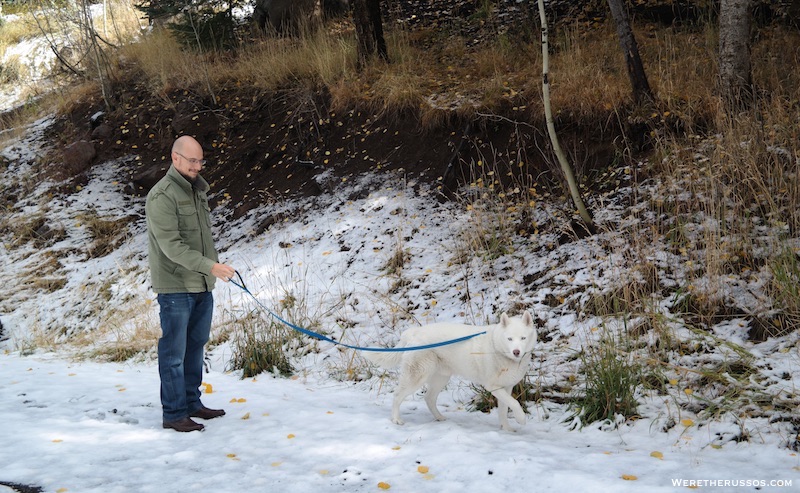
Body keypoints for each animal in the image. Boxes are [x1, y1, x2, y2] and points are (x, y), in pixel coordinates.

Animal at [368, 312, 536, 430]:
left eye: (523, 338)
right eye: (509, 339)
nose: (516, 352)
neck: (499, 349)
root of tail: (413, 332)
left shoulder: (506, 388)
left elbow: (504, 410)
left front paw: (507, 429)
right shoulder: (493, 387)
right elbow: (515, 403)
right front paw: (521, 419)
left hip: (440, 378)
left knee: (429, 398)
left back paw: (439, 417)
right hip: (417, 377)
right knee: (397, 395)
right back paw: (396, 419)